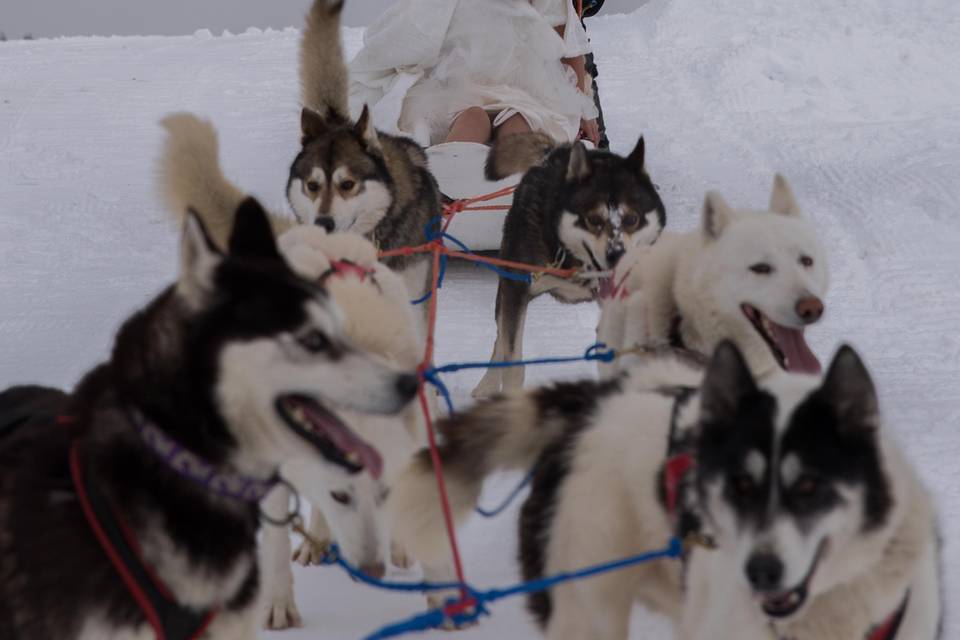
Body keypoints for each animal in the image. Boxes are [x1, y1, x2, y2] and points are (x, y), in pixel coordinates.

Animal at [472, 132, 668, 398]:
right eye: (593, 220)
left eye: (632, 219)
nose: (616, 255)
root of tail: (554, 151)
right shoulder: (516, 288)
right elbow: (512, 360)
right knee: (500, 339)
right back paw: (487, 384)